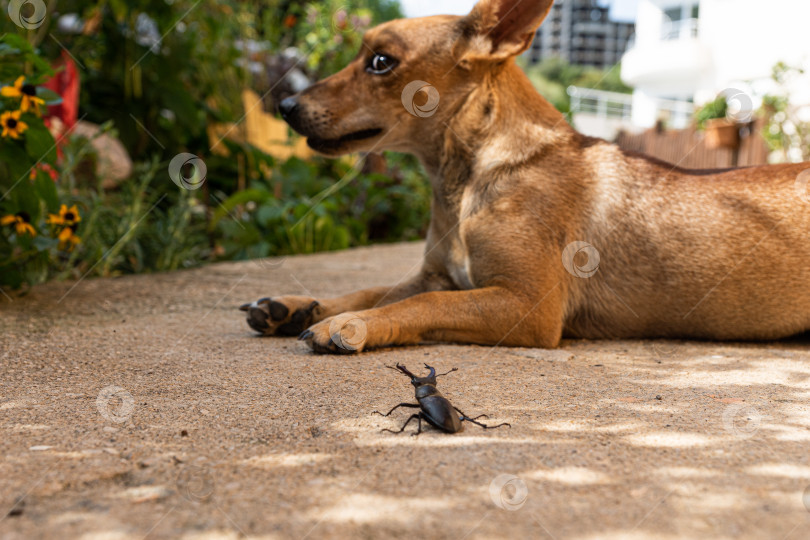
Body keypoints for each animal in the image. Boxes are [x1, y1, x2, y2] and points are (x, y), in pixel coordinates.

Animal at [238, 0, 808, 354]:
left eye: (380, 62)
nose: (285, 105)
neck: (462, 182)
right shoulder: (438, 274)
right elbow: (374, 288)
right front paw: (298, 306)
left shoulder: (525, 305)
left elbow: (419, 302)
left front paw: (346, 325)